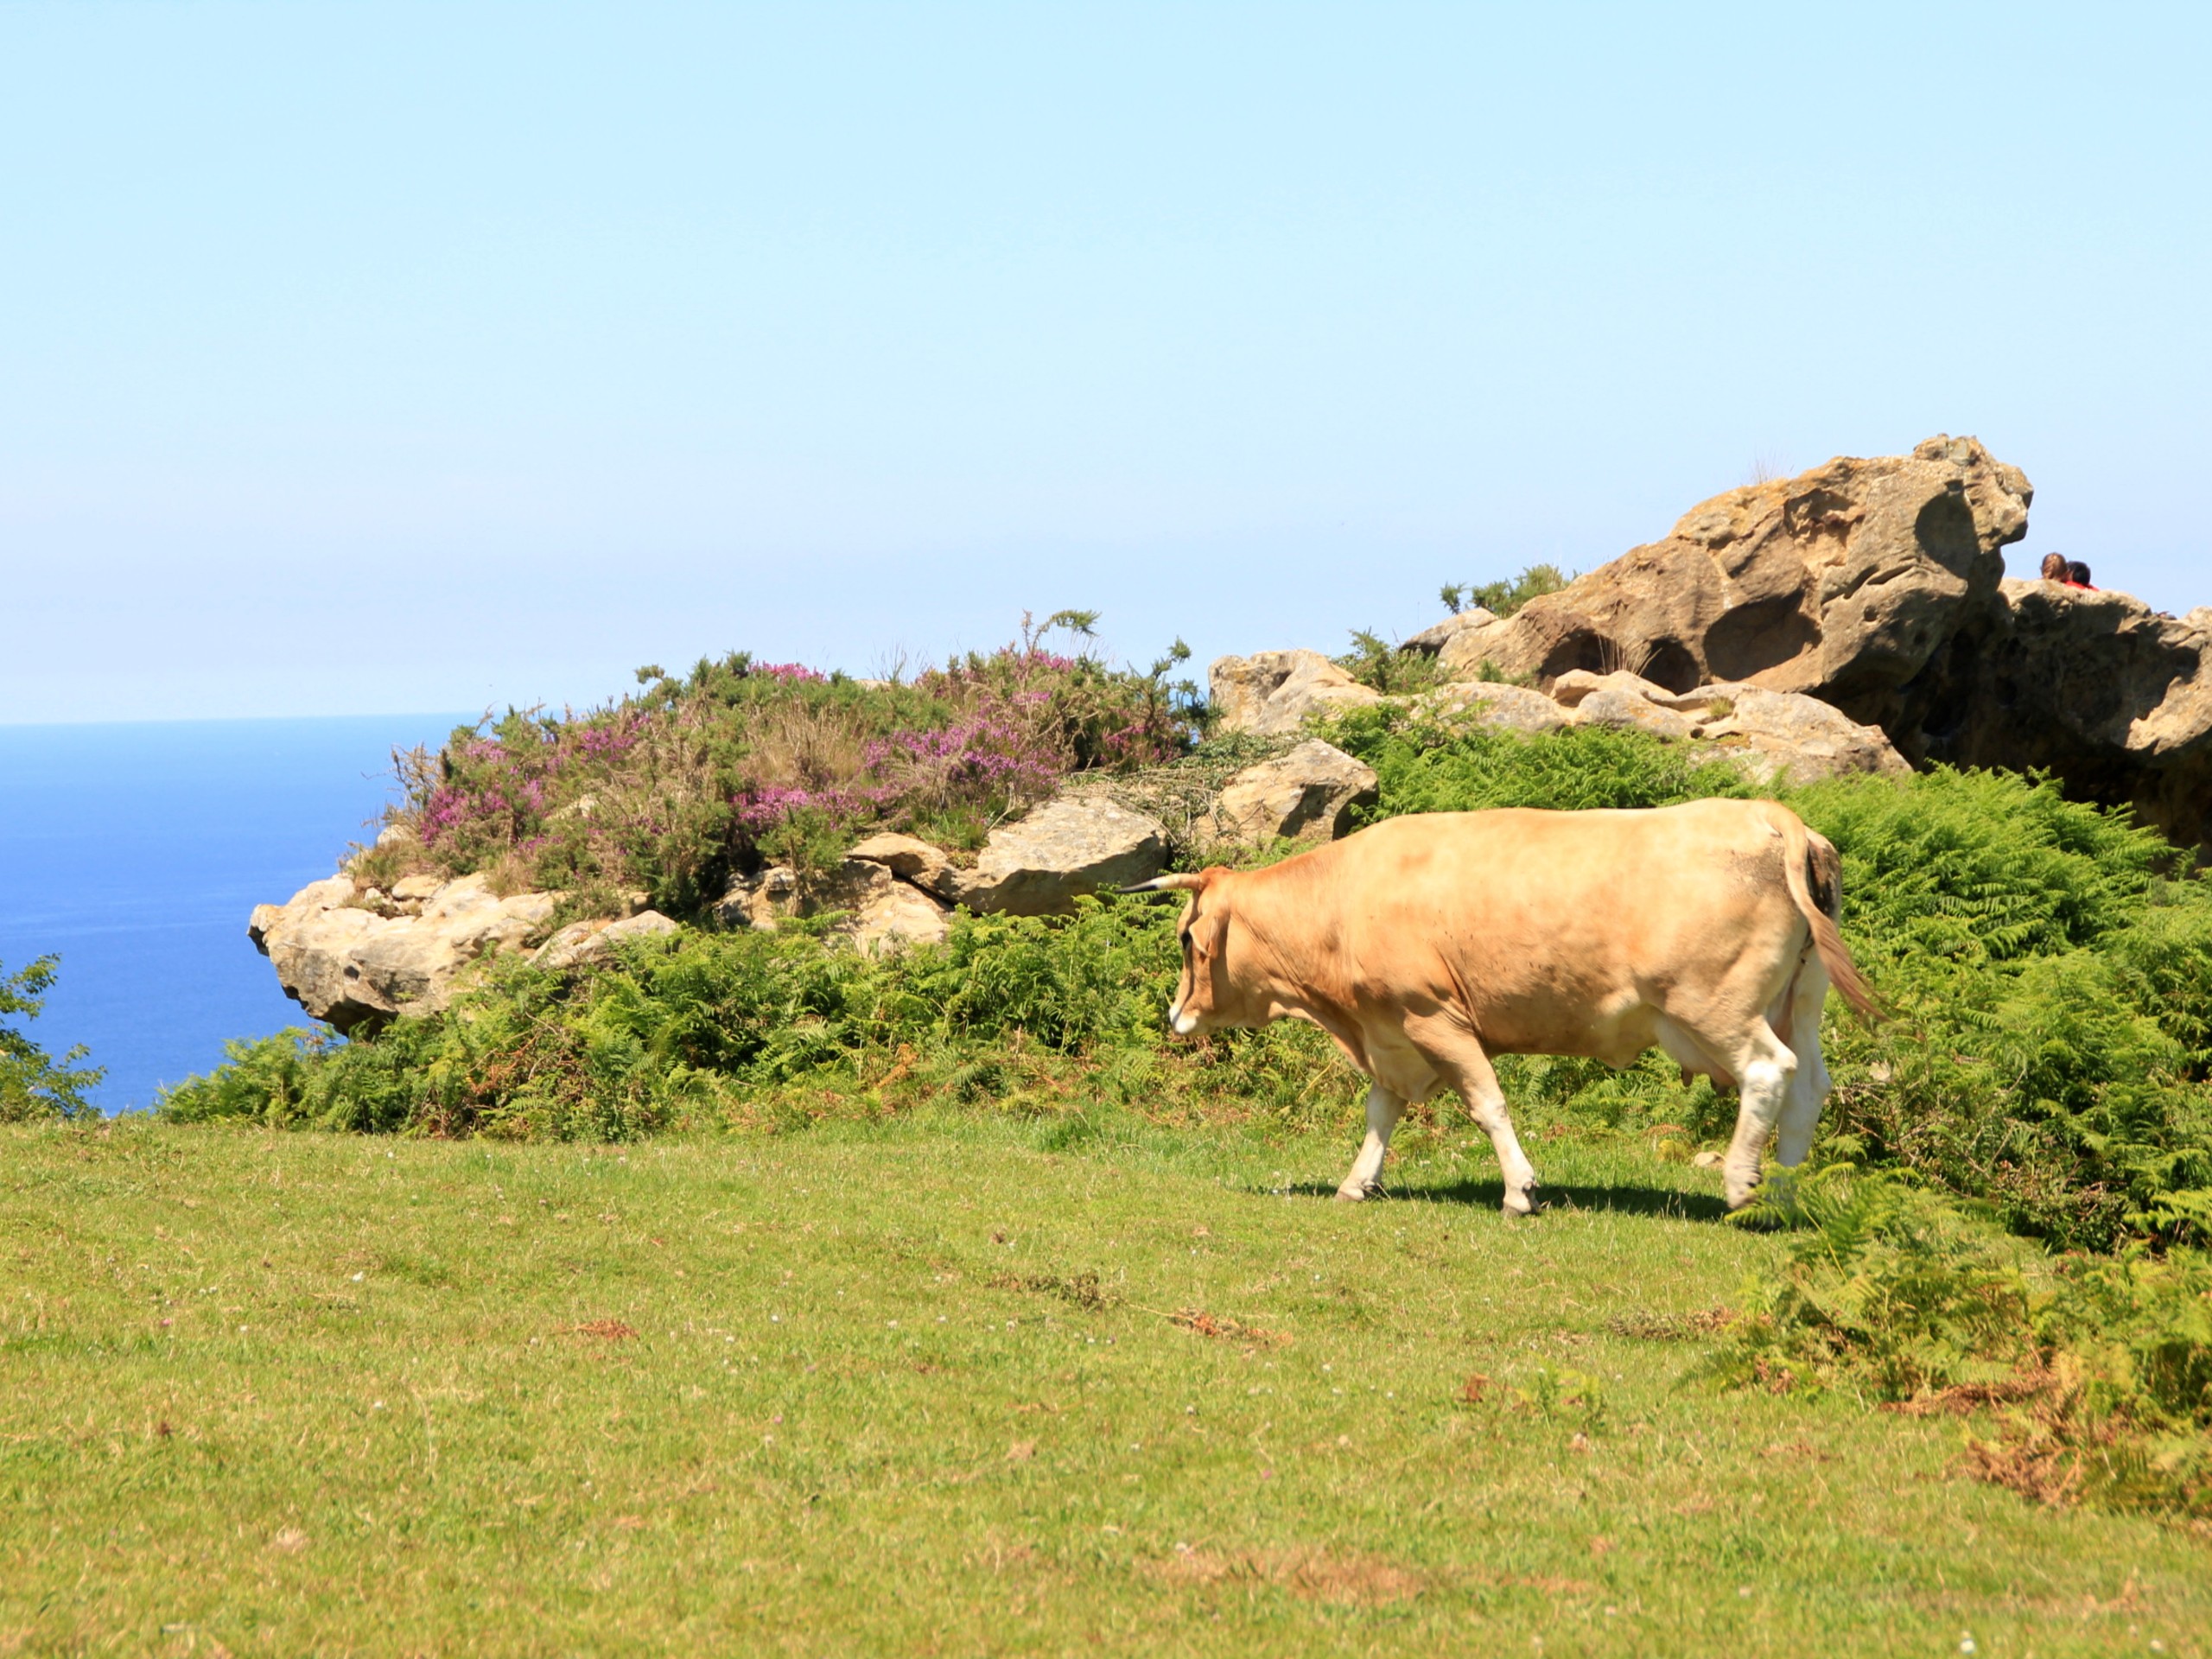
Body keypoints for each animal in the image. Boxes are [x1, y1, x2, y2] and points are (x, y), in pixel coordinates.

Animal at [1132, 800, 1875, 1211]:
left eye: (1186, 938)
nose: (1175, 1017)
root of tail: (1773, 813)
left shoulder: (1433, 1017)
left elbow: (1487, 1105)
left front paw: (1520, 1190)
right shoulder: (1392, 1032)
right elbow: (1381, 1112)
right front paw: (1357, 1183)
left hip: (1715, 1005)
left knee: (1769, 1073)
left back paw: (1742, 1185)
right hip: (1800, 1001)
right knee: (1809, 1086)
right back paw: (1781, 1196)